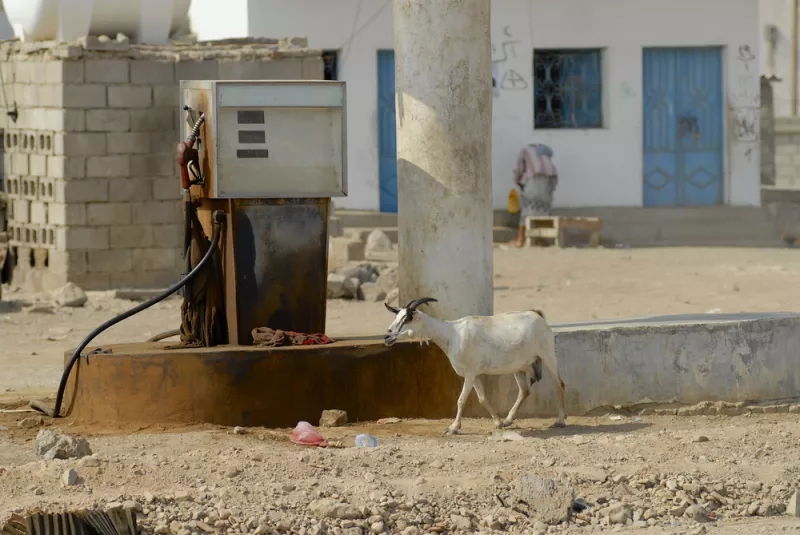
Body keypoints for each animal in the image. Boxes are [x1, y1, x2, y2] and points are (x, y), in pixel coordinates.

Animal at [384, 298, 564, 436]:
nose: (387, 336)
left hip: (548, 356)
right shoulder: (475, 375)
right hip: (519, 368)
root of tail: (538, 317)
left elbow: (461, 400)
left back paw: (560, 421)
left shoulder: (469, 374)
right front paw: (498, 423)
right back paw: (508, 420)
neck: (453, 334)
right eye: (397, 316)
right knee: (524, 391)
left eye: (407, 318)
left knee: (559, 384)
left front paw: (453, 428)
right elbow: (482, 398)